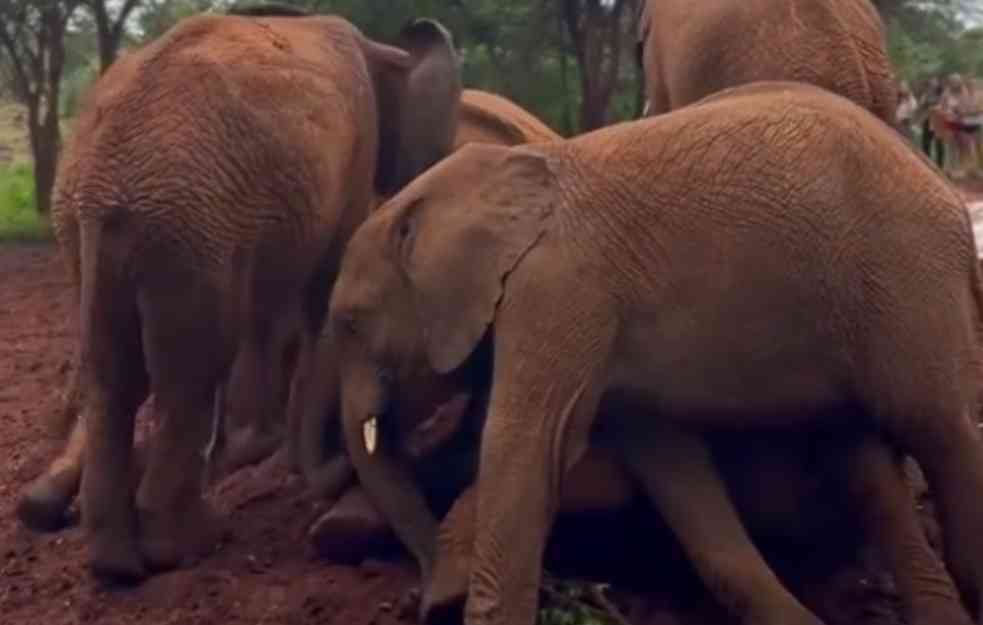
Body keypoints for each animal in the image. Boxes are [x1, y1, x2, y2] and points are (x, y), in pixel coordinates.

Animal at [15, 9, 462, 584]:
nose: (338, 468)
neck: (378, 45)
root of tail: (100, 187)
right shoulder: (352, 155)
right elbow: (322, 284)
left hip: (91, 232)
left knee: (115, 376)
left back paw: (115, 563)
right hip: (186, 232)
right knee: (188, 375)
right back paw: (189, 545)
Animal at [326, 79, 983, 624]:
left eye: (351, 323)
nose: (422, 599)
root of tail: (946, 190)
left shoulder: (559, 290)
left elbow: (527, 448)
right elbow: (673, 470)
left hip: (908, 279)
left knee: (941, 431)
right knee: (864, 461)